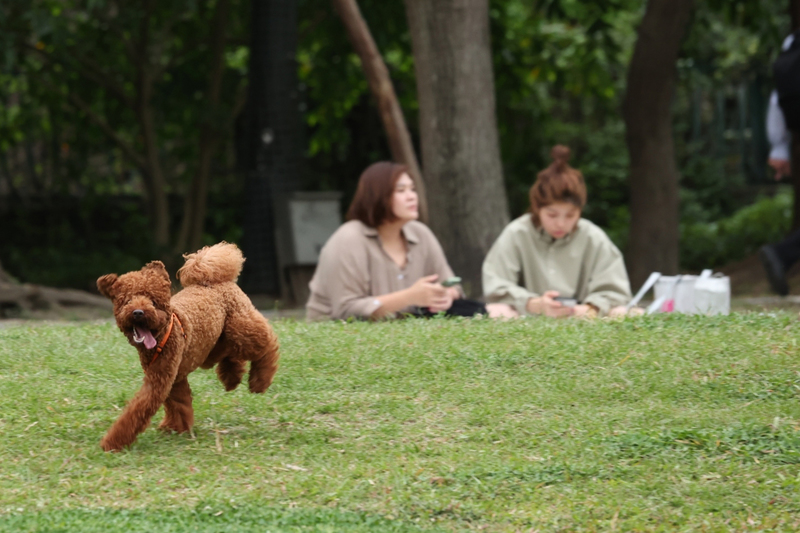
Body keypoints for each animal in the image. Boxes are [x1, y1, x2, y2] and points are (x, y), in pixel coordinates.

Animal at [97, 243, 280, 450]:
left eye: (153, 301)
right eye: (127, 301)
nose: (138, 312)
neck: (164, 335)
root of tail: (214, 279)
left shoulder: (158, 381)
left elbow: (137, 410)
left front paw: (112, 443)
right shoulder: (172, 378)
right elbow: (179, 403)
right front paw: (176, 427)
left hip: (240, 327)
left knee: (266, 343)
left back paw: (259, 381)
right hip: (214, 344)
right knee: (232, 353)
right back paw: (232, 378)